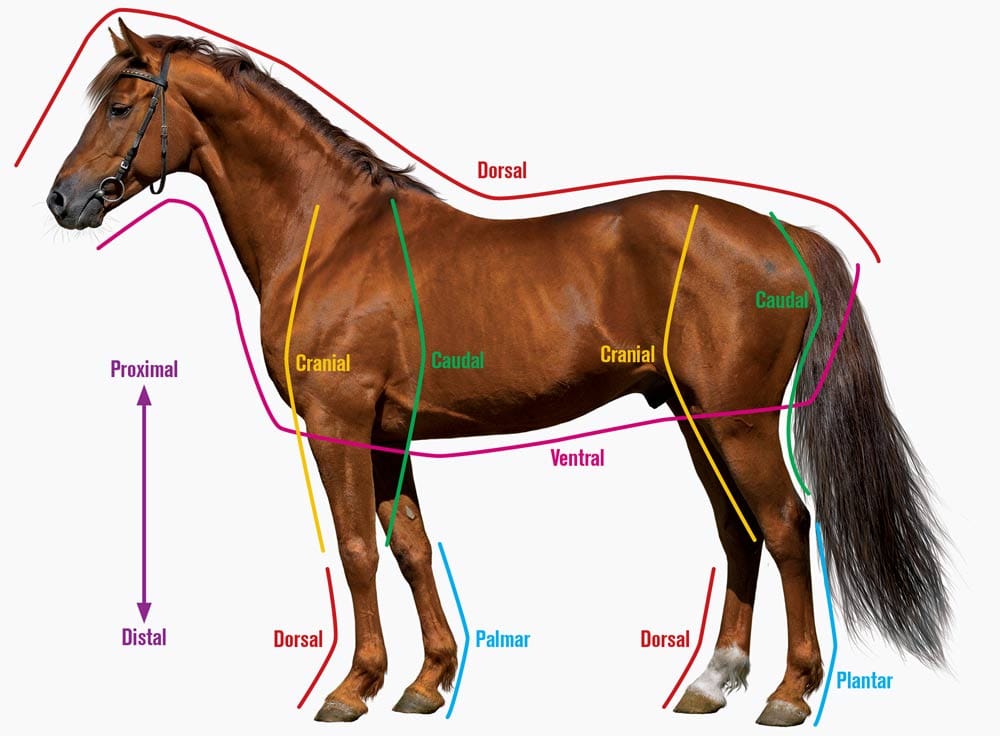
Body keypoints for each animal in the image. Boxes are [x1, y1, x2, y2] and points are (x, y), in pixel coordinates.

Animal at [46, 21, 949, 727]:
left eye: (119, 106)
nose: (63, 200)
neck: (332, 236)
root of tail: (783, 232)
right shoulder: (388, 434)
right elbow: (408, 546)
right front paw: (425, 680)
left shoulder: (339, 422)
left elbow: (357, 548)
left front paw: (352, 687)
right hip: (698, 417)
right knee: (739, 530)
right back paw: (712, 682)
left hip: (740, 420)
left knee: (787, 524)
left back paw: (790, 694)